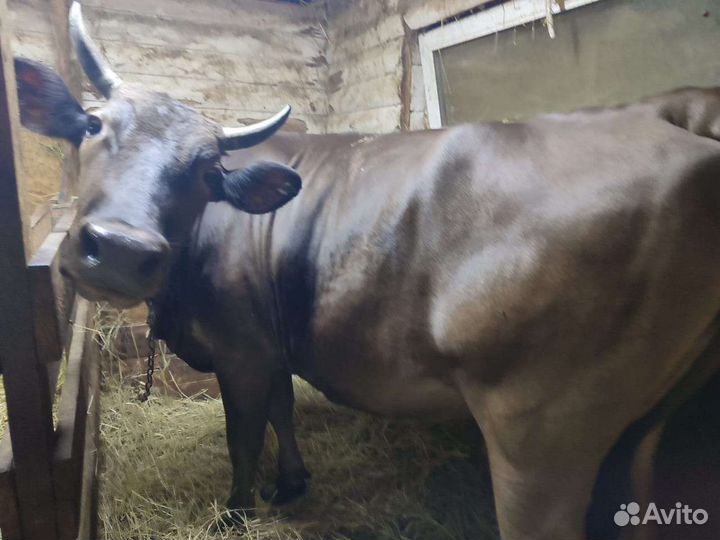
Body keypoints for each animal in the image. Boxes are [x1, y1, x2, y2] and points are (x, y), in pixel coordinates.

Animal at [13, 3, 720, 538]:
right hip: (648, 421)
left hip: (538, 433)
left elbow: (244, 436)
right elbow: (283, 411)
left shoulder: (242, 350)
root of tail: (665, 111)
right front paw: (291, 484)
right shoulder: (272, 346)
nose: (121, 248)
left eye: (207, 170)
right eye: (92, 125)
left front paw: (236, 512)